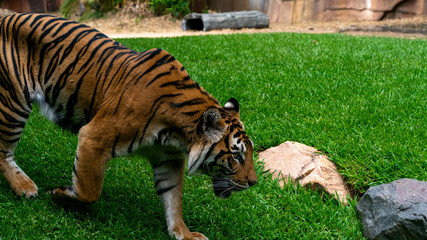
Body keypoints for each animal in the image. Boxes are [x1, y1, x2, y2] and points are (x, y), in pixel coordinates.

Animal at [0, 13, 258, 240]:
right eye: (236, 156)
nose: (254, 183)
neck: (177, 135)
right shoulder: (94, 137)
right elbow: (89, 190)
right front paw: (59, 194)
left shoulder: (168, 159)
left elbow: (173, 197)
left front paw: (183, 233)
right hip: (14, 102)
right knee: (4, 152)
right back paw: (24, 187)